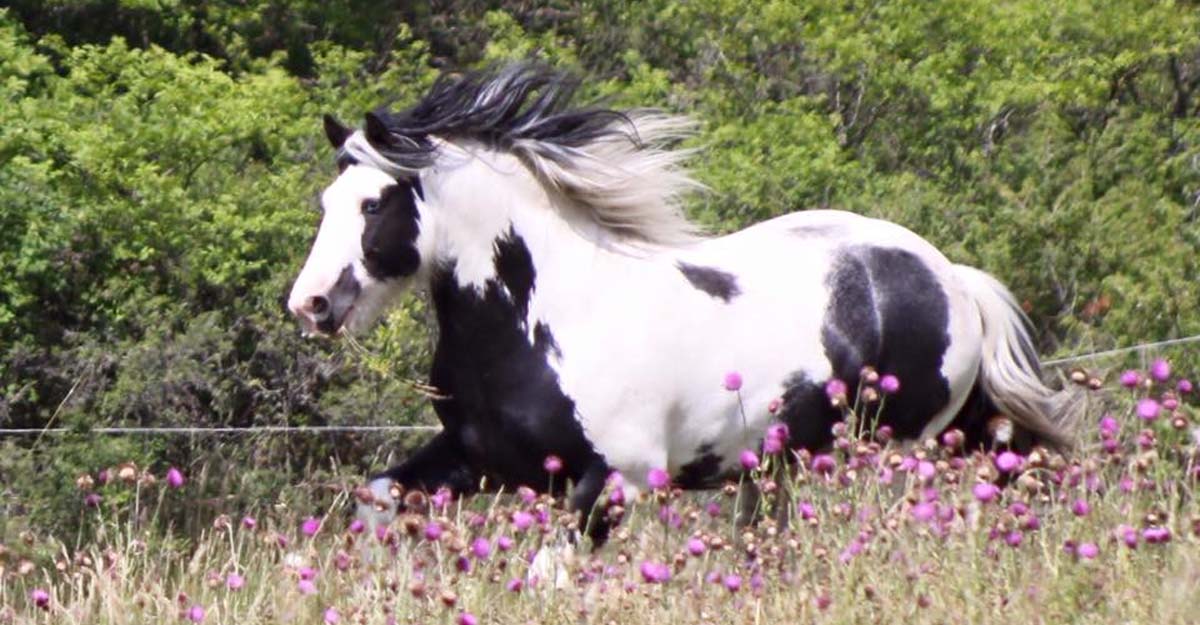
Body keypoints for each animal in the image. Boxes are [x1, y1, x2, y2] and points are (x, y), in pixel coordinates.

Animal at [288, 60, 1080, 542]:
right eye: (326, 201)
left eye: (373, 204)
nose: (311, 305)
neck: (542, 324)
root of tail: (951, 278)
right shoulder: (476, 459)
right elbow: (377, 499)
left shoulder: (616, 483)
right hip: (794, 462)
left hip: (900, 447)